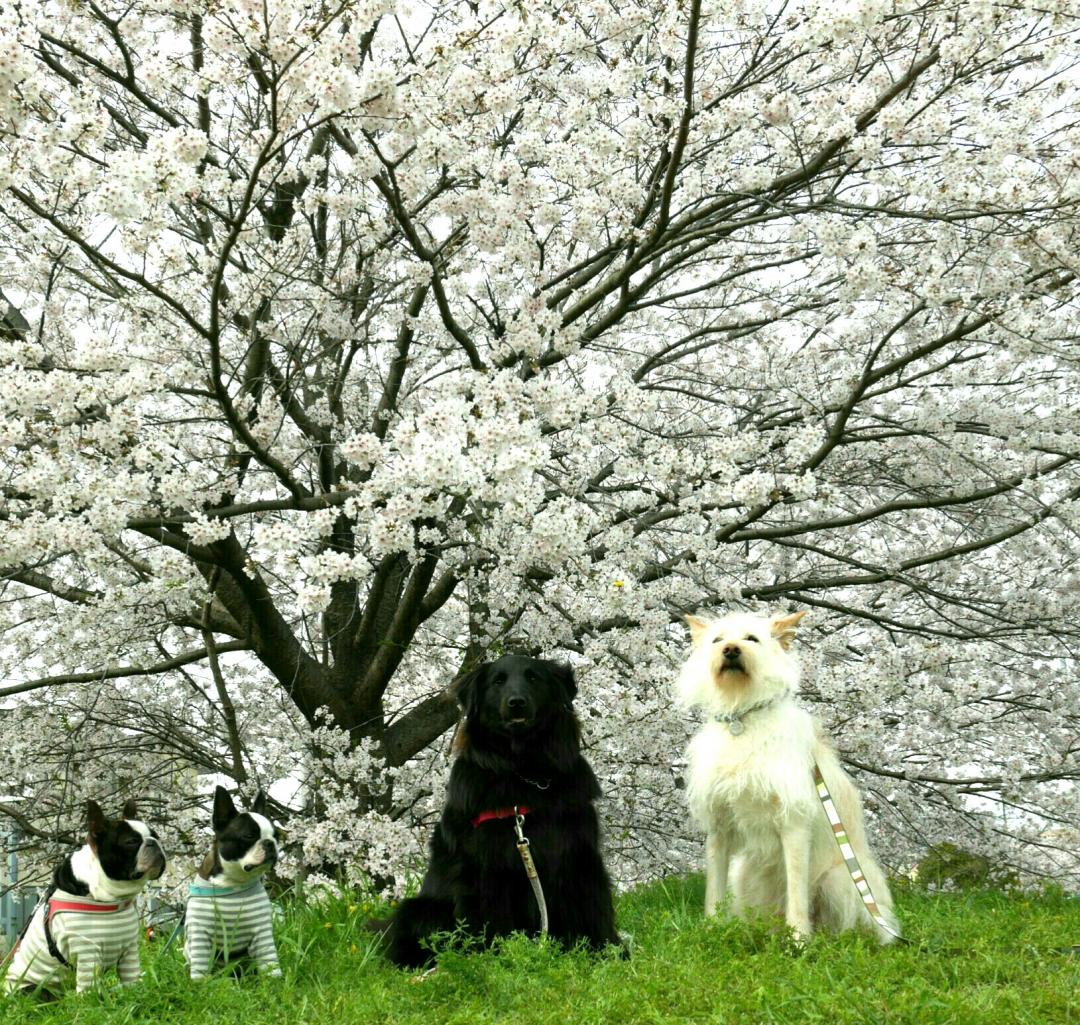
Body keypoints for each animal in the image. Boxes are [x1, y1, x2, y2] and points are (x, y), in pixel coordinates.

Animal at [2, 799, 166, 993]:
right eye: (131, 841)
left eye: (157, 836)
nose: (154, 842)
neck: (109, 896)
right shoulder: (87, 951)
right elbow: (88, 989)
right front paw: (91, 999)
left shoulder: (130, 949)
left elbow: (131, 978)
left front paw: (134, 994)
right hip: (34, 988)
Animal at [183, 786, 280, 980]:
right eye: (249, 836)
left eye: (276, 836)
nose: (270, 843)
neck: (232, 883)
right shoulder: (200, 934)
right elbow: (200, 966)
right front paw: (200, 983)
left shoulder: (262, 930)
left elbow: (269, 960)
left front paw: (274, 980)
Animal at [386, 652, 626, 963]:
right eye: (498, 681)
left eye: (533, 677)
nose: (516, 702)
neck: (525, 774)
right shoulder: (487, 868)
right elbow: (493, 920)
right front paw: (500, 959)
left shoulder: (579, 856)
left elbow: (594, 908)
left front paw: (609, 953)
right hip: (420, 909)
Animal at [673, 609, 902, 941]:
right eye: (717, 640)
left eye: (751, 638)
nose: (730, 650)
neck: (743, 718)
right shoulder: (719, 829)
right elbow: (714, 890)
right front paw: (713, 930)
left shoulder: (793, 824)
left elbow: (796, 892)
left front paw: (799, 940)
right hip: (742, 873)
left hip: (840, 878)